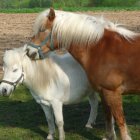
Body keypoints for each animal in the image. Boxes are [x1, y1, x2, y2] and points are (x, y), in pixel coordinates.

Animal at [25, 8, 140, 140]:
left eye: (42, 30)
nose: (28, 51)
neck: (101, 49)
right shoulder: (103, 92)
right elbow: (108, 117)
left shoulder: (112, 92)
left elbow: (120, 121)